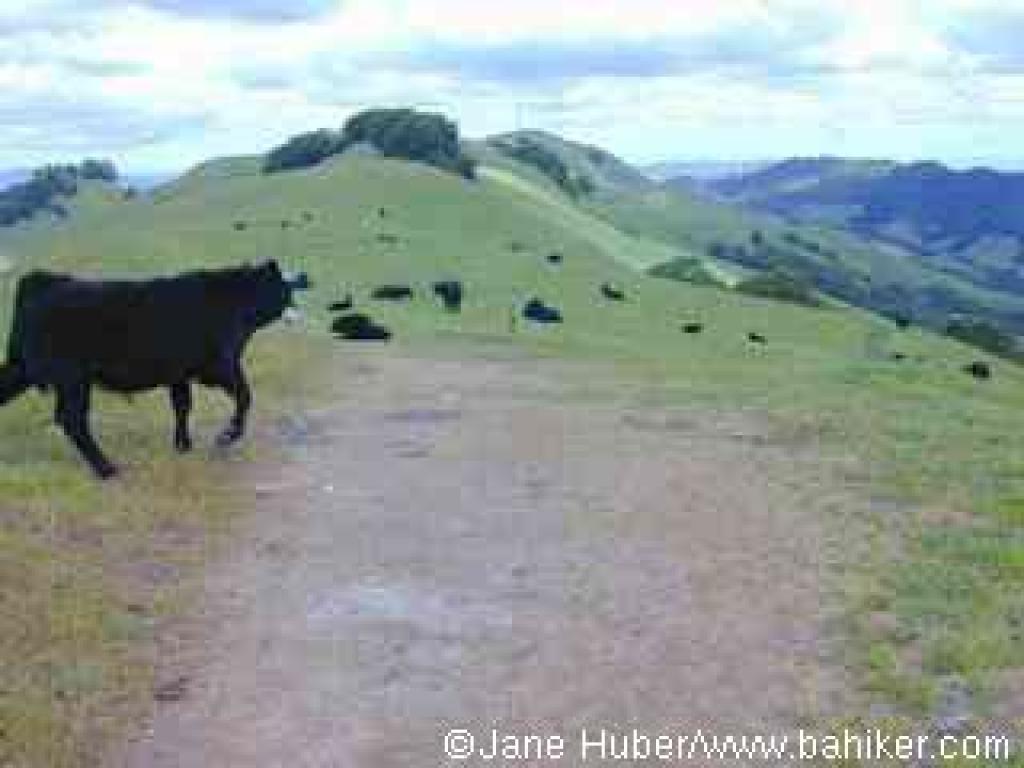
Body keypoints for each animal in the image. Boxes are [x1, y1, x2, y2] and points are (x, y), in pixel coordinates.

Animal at [0, 261, 305, 478]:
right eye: (285, 289)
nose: (299, 310)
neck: (231, 303)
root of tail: (47, 281)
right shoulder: (219, 366)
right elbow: (245, 395)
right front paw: (227, 436)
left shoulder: (180, 374)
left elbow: (182, 406)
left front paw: (183, 446)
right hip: (73, 380)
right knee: (72, 420)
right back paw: (107, 469)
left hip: (27, 370)